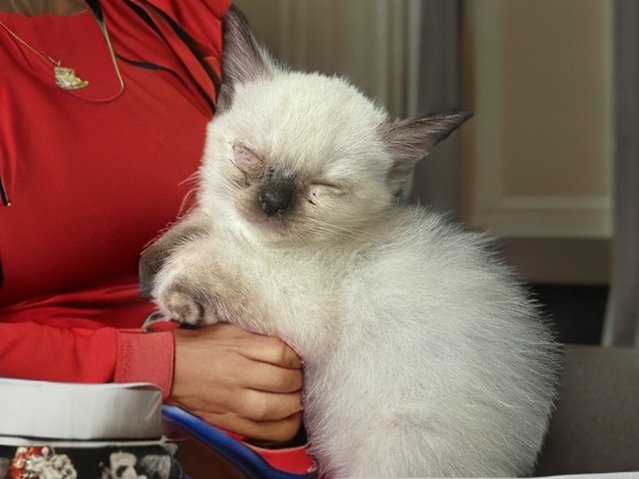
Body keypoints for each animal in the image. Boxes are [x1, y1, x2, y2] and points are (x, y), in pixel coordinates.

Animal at [140, 7, 560, 479]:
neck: (257, 241)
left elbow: (205, 263)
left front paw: (172, 300)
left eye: (325, 186)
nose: (271, 203)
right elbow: (187, 235)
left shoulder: (293, 299)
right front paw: (152, 266)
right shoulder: (215, 223)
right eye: (249, 155)